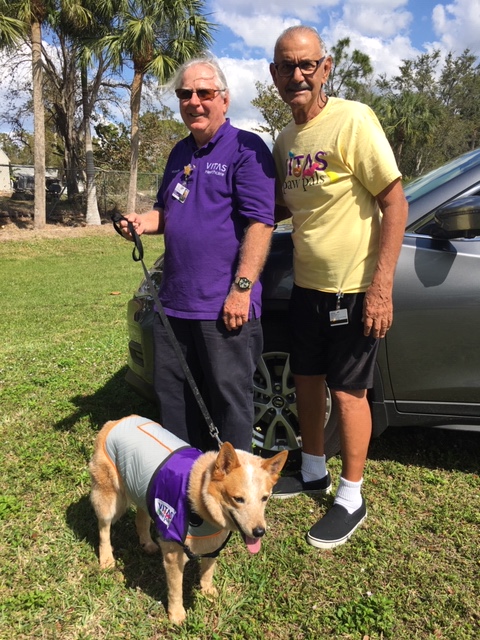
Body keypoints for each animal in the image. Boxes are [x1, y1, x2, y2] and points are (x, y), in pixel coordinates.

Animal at [88, 416, 286, 624]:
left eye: (265, 498)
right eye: (238, 499)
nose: (259, 532)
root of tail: (116, 421)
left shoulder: (213, 545)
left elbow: (207, 572)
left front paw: (208, 592)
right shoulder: (173, 555)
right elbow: (176, 590)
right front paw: (176, 615)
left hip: (143, 491)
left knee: (141, 517)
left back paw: (147, 543)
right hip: (109, 498)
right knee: (104, 528)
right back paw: (107, 559)